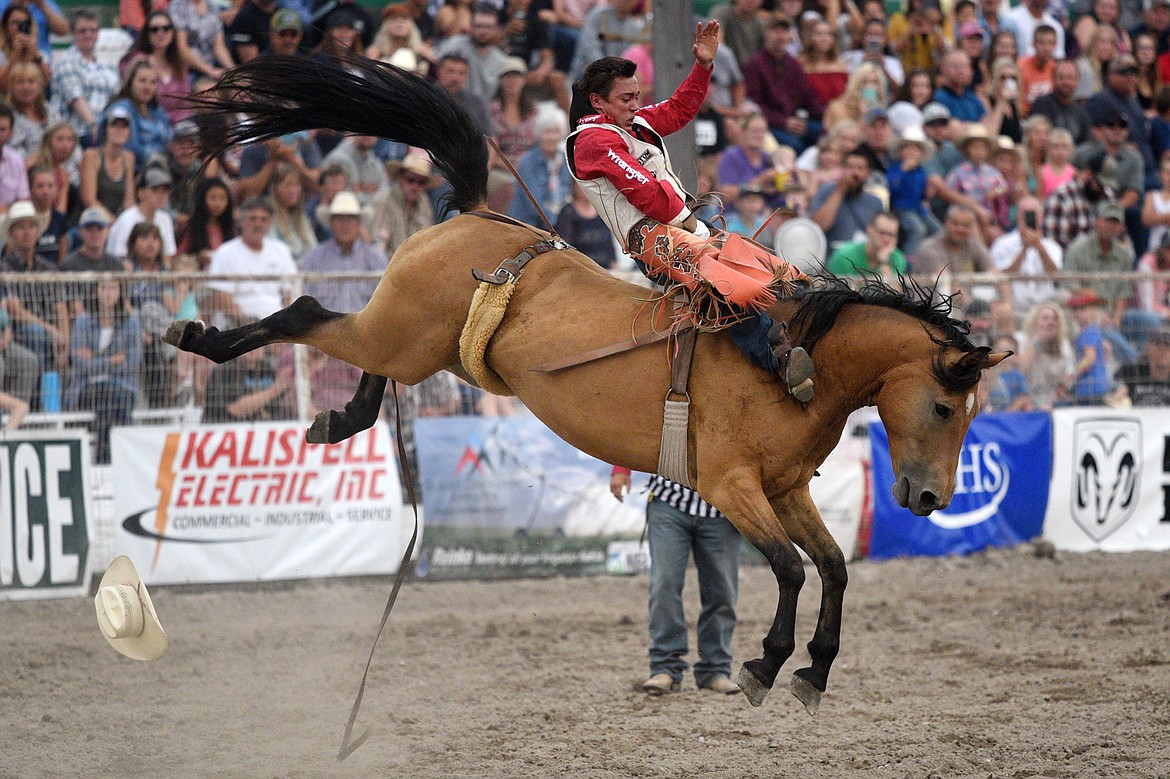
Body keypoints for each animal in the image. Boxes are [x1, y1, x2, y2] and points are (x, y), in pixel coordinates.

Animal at [169, 53, 1010, 711]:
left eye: (971, 415)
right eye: (944, 405)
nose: (929, 497)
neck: (800, 357)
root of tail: (476, 213)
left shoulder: (787, 487)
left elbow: (832, 566)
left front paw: (815, 669)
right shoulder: (733, 483)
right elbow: (789, 568)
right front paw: (767, 662)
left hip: (420, 344)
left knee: (366, 360)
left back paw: (335, 420)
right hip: (398, 329)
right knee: (308, 310)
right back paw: (202, 338)